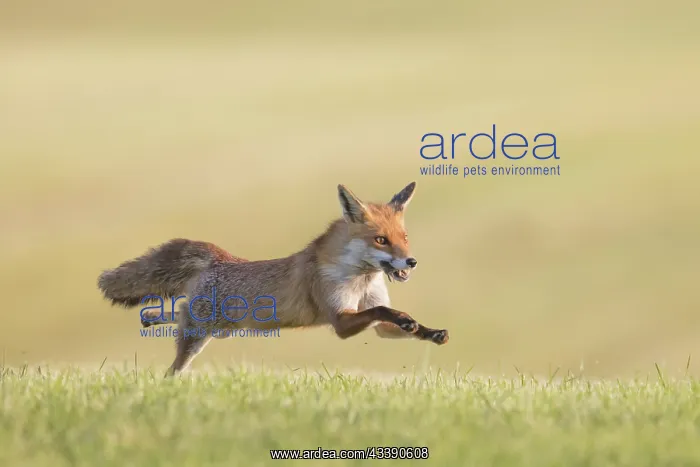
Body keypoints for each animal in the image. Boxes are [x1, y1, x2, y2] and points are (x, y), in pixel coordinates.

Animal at [97, 181, 449, 377]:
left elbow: (395, 320)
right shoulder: (341, 320)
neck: (360, 280)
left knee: (172, 311)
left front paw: (430, 332)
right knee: (172, 369)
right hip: (199, 335)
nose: (411, 262)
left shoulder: (377, 327)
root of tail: (221, 258)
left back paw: (150, 318)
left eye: (404, 237)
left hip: (219, 329)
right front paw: (409, 319)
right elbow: (384, 311)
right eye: (380, 240)